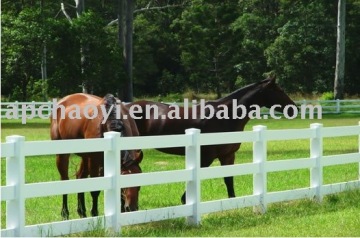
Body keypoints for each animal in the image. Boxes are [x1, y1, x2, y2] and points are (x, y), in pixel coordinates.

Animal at [126, 77, 296, 204]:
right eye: (278, 90)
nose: (293, 108)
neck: (226, 116)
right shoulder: (206, 157)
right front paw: (185, 201)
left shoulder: (228, 156)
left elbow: (228, 180)